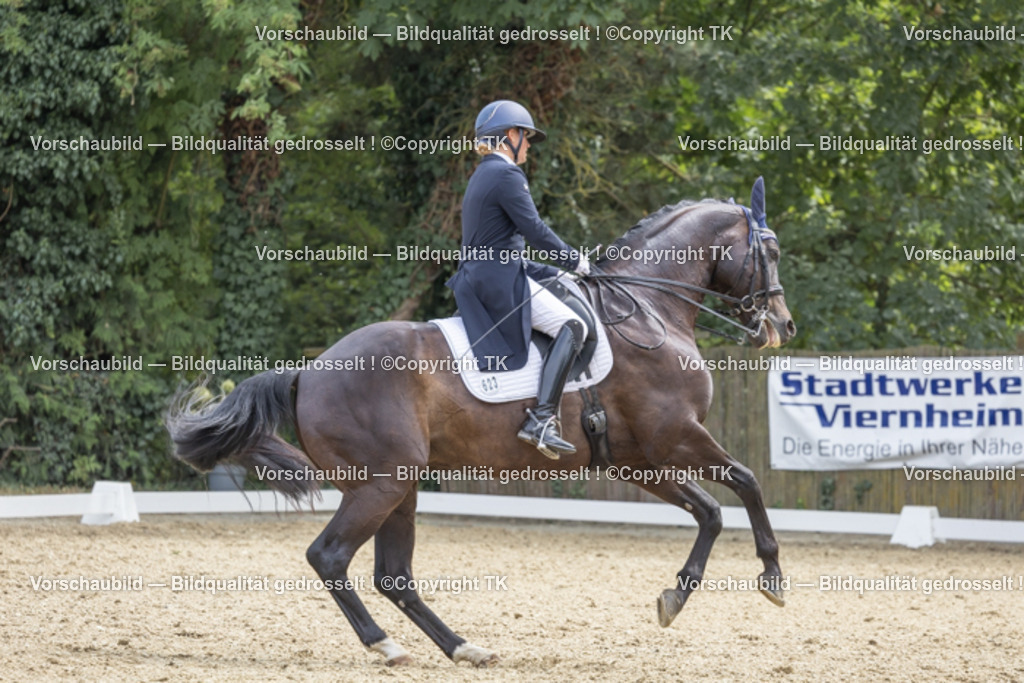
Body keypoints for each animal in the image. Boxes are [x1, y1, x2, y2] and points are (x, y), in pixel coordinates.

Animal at [166, 177, 796, 667]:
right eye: (770, 250)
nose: (781, 326)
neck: (647, 311)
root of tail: (309, 371)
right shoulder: (677, 437)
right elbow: (746, 482)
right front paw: (772, 577)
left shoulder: (640, 459)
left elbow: (710, 512)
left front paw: (676, 597)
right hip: (381, 484)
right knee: (330, 557)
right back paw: (386, 646)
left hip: (399, 487)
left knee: (393, 574)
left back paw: (462, 647)